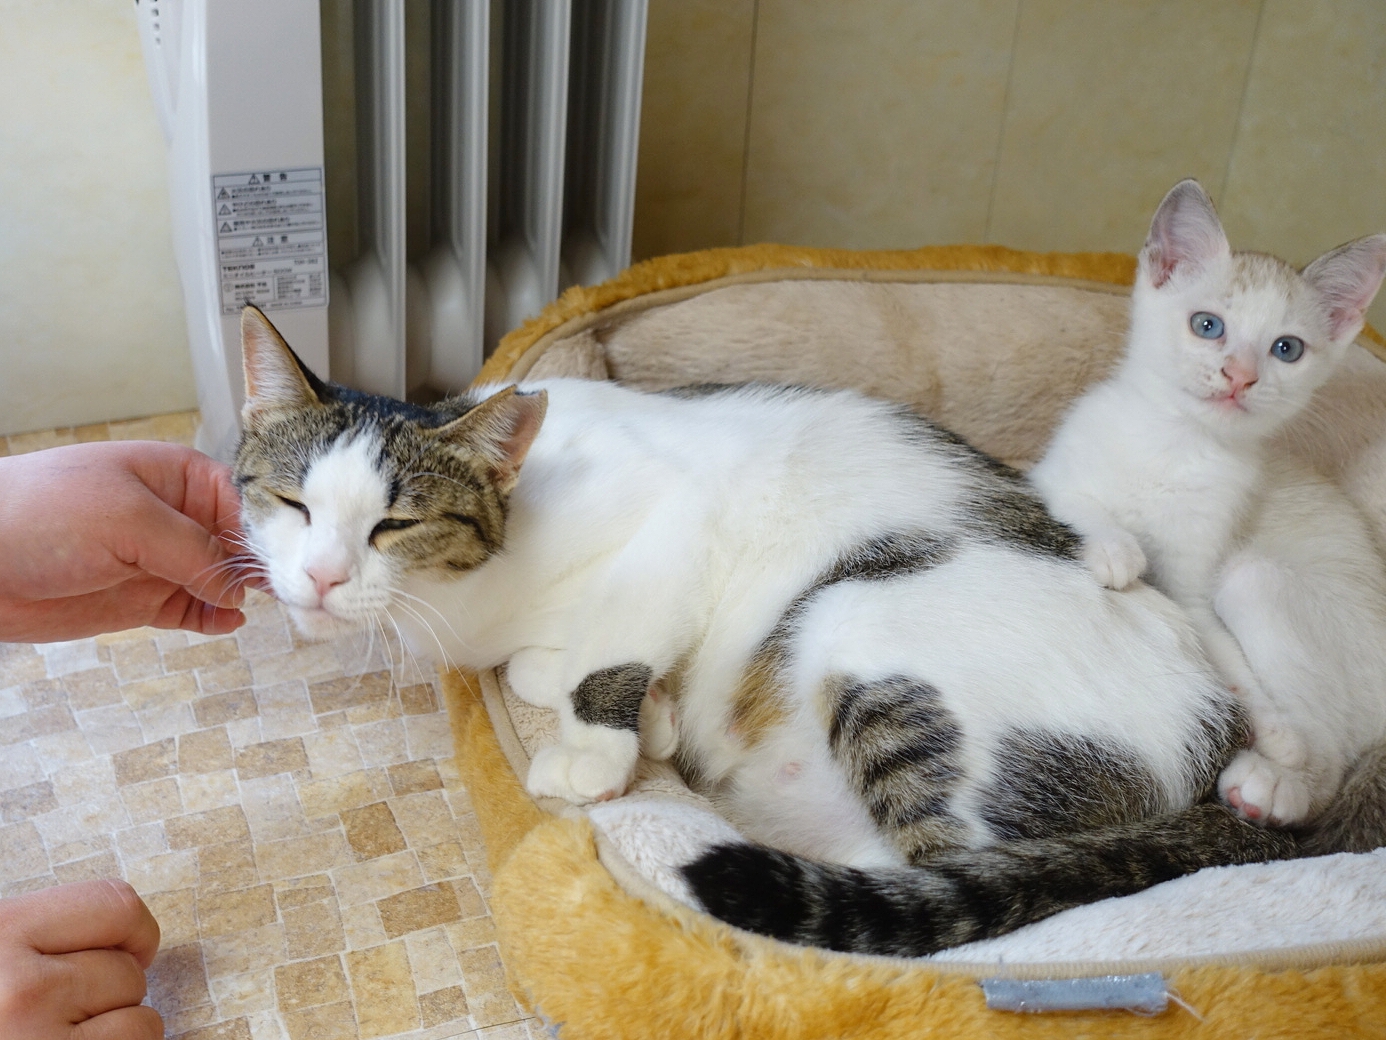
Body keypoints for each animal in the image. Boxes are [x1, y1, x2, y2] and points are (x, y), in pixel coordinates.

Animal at [233, 303, 1366, 958]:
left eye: (395, 524)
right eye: (289, 502)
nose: (321, 578)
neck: (478, 592)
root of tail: (1214, 732)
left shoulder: (677, 512)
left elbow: (601, 650)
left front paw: (598, 743)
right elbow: (542, 666)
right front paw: (644, 713)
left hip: (857, 616)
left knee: (944, 890)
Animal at [1029, 178, 1386, 829]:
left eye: (1286, 349)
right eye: (1207, 325)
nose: (1239, 375)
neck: (1178, 444)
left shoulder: (1197, 583)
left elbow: (1224, 652)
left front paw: (1276, 732)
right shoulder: (1045, 471)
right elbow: (1078, 500)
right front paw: (1115, 550)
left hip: (1254, 578)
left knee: (1330, 765)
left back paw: (1275, 786)